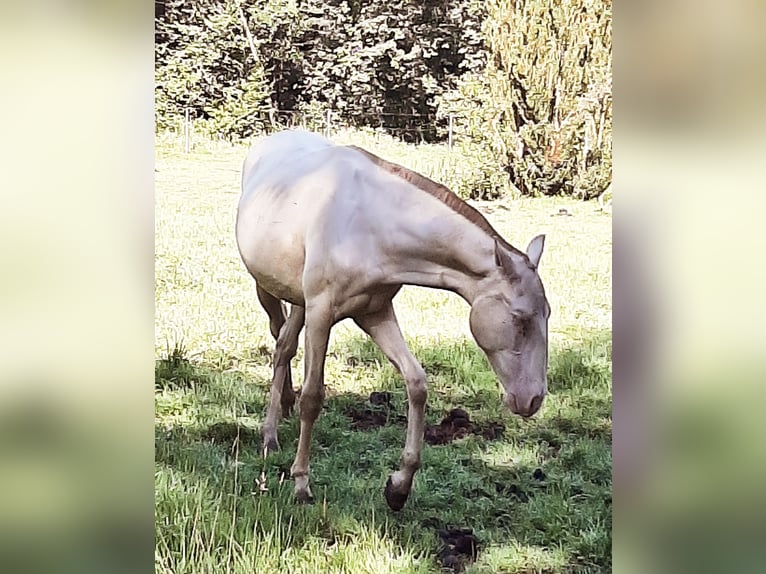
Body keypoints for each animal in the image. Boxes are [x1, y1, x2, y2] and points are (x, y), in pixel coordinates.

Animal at [236, 128, 552, 510]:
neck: (371, 224)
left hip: (301, 301)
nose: (532, 399)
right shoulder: (323, 313)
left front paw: (399, 487)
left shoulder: (374, 313)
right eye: (519, 318)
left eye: (548, 313)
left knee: (285, 344)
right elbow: (312, 397)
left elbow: (416, 383)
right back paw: (269, 434)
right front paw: (301, 483)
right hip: (267, 289)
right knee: (279, 344)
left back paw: (281, 410)